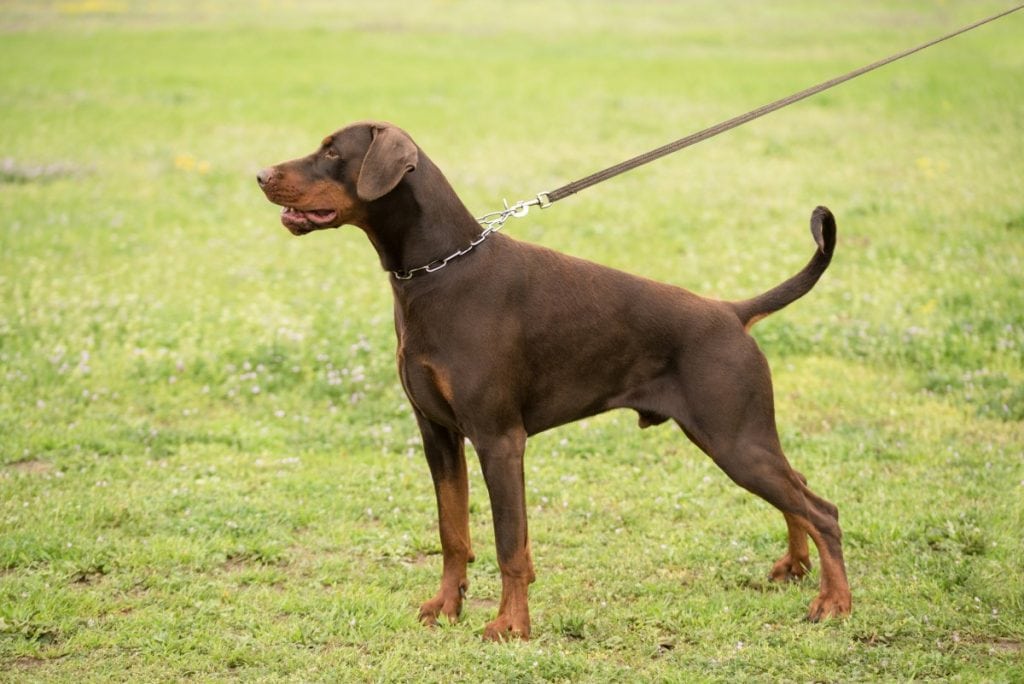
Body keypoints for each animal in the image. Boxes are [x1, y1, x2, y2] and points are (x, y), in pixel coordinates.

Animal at [260, 121, 851, 643]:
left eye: (332, 151)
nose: (261, 174)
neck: (438, 271)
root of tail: (732, 312)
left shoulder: (499, 439)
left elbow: (510, 545)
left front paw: (509, 626)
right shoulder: (437, 434)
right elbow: (453, 532)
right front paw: (447, 607)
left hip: (733, 437)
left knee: (822, 510)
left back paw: (834, 603)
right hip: (740, 439)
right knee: (798, 488)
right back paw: (796, 566)